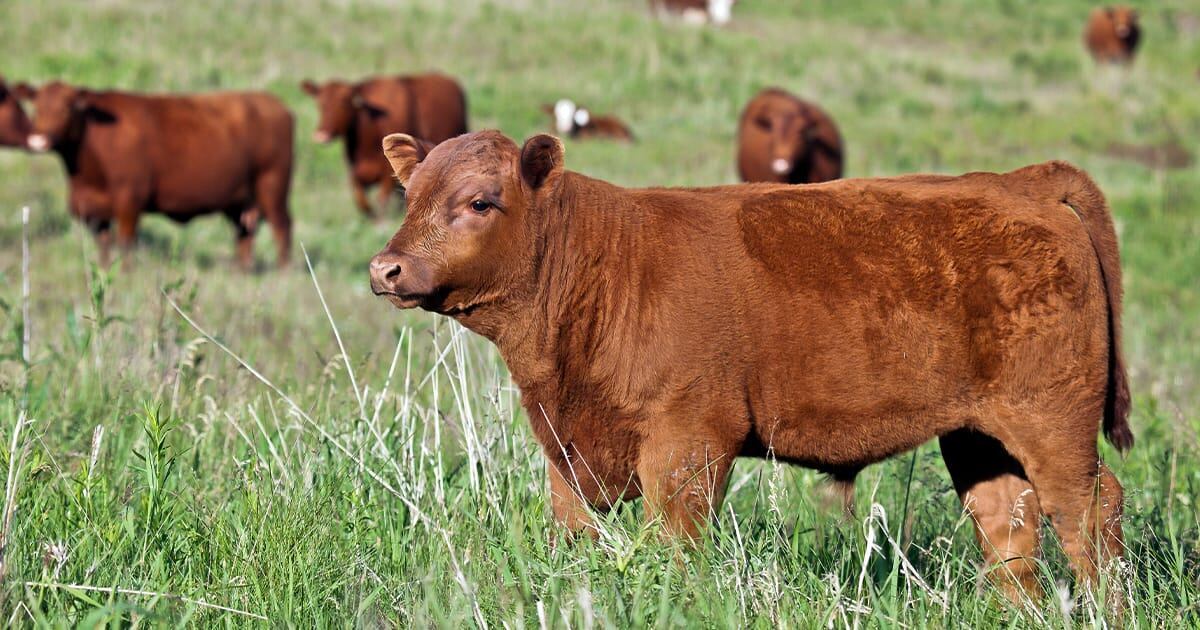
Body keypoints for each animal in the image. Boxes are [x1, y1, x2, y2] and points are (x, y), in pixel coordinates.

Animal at [18, 82, 293, 270]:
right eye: (37, 107)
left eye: (69, 108)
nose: (39, 139)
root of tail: (271, 102)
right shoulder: (94, 212)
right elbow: (104, 245)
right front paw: (104, 272)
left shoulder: (129, 200)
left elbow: (126, 243)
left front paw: (125, 275)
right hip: (239, 200)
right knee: (244, 234)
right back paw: (241, 271)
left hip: (272, 186)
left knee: (282, 226)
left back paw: (283, 271)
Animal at [301, 74, 467, 218]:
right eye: (320, 104)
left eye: (344, 102)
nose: (321, 135)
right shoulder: (355, 173)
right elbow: (362, 202)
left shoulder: (387, 174)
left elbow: (382, 201)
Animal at [369, 129, 1132, 606]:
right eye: (410, 197)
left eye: (479, 202)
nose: (386, 268)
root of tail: (1018, 183)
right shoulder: (567, 450)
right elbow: (575, 533)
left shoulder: (687, 442)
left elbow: (677, 541)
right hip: (979, 433)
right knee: (1008, 521)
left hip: (1053, 420)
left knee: (1088, 509)